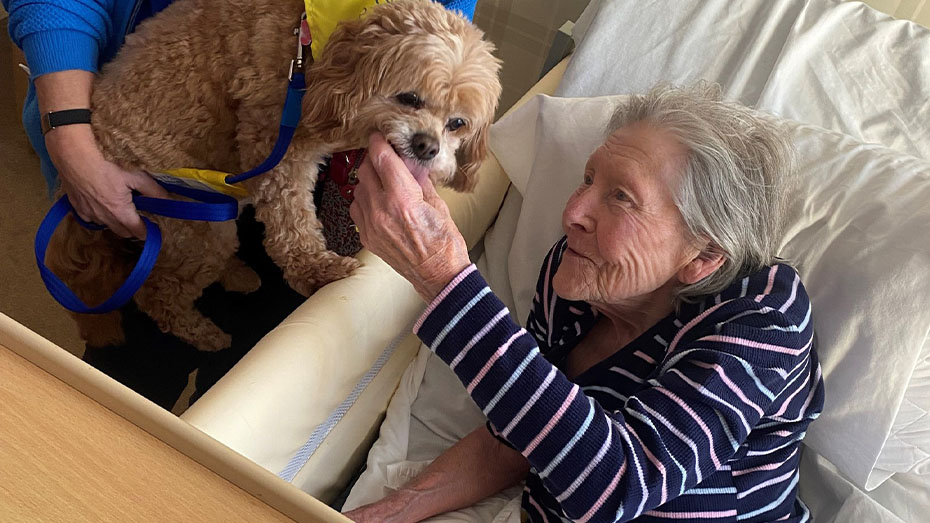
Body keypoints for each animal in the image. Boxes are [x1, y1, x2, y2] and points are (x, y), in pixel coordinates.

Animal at [45, 1, 500, 352]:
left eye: (457, 123)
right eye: (409, 97)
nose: (427, 147)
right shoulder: (274, 141)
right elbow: (290, 218)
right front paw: (315, 270)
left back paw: (238, 275)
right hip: (184, 210)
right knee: (159, 292)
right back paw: (206, 335)